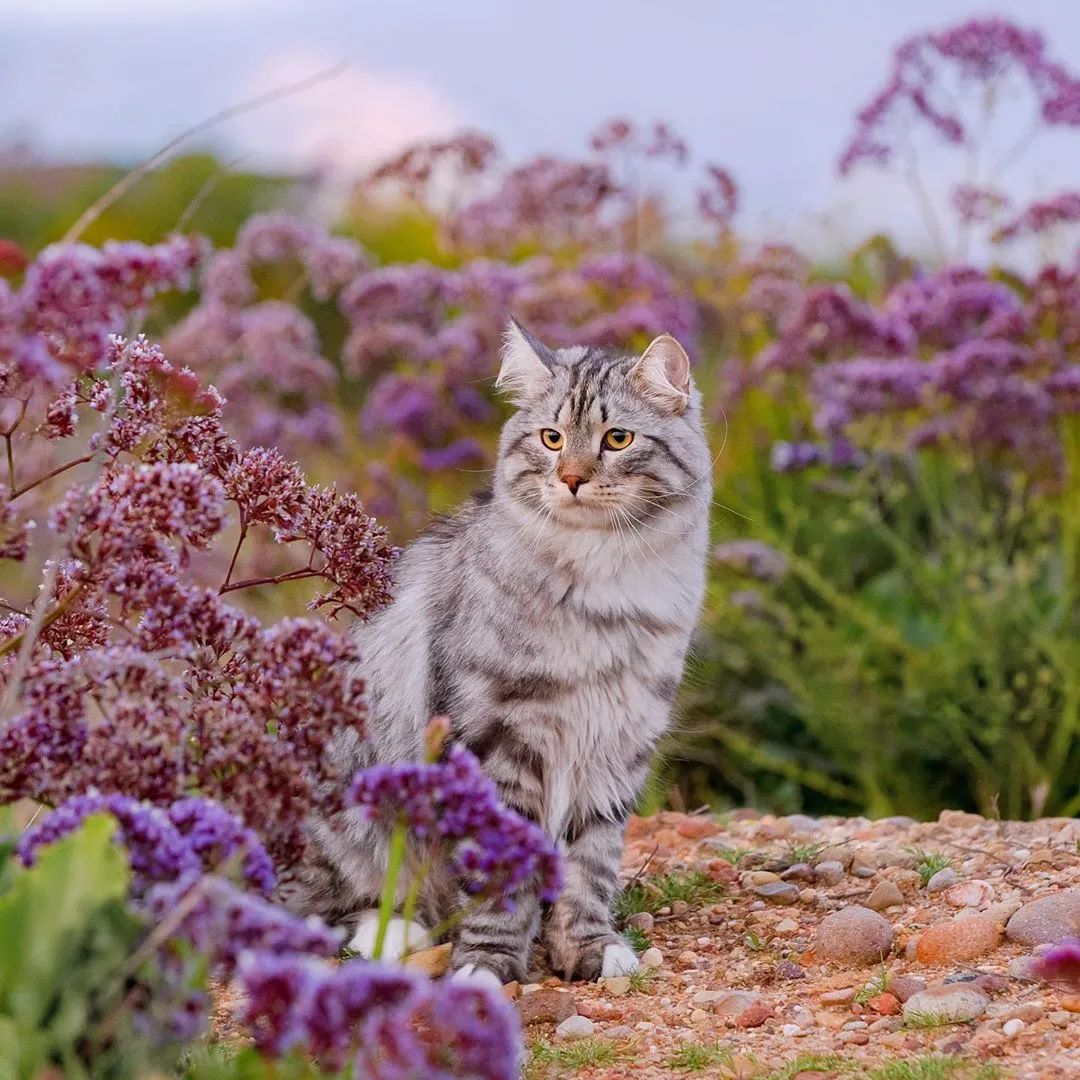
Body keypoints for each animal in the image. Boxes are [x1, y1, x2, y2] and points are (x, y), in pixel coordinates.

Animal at [282, 321, 712, 989]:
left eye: (617, 438)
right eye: (551, 438)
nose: (571, 478)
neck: (602, 587)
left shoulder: (617, 742)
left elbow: (591, 866)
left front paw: (591, 950)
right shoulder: (495, 739)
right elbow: (497, 880)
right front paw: (487, 964)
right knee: (298, 906)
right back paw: (391, 931)